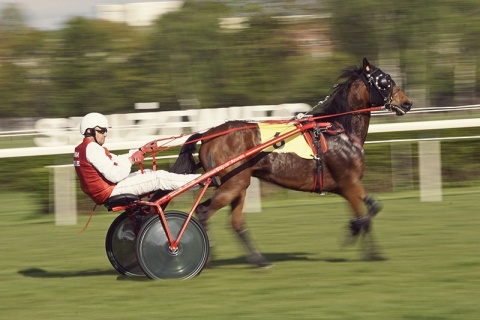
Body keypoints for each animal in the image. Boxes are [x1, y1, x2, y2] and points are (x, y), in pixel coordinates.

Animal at [169, 58, 412, 268]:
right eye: (385, 81)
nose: (407, 103)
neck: (340, 130)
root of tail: (207, 134)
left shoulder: (346, 186)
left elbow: (371, 208)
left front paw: (366, 245)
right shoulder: (348, 182)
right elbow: (367, 213)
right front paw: (360, 241)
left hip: (239, 185)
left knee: (235, 222)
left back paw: (259, 260)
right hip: (233, 183)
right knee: (203, 212)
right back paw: (204, 256)